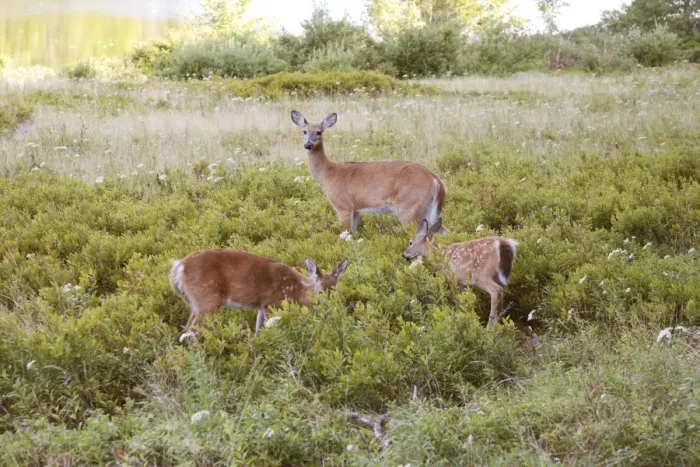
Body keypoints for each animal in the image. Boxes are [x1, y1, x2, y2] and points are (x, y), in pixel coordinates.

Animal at [169, 248, 349, 338]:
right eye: (320, 291)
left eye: (336, 289)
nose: (330, 307)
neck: (295, 290)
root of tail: (179, 267)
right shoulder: (273, 304)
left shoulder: (262, 307)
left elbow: (258, 331)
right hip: (208, 300)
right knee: (191, 332)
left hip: (195, 304)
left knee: (185, 330)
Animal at [291, 110, 447, 233]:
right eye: (304, 131)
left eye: (319, 132)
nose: (308, 144)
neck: (328, 174)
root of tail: (436, 180)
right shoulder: (356, 210)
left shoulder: (343, 205)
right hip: (429, 210)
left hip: (408, 207)